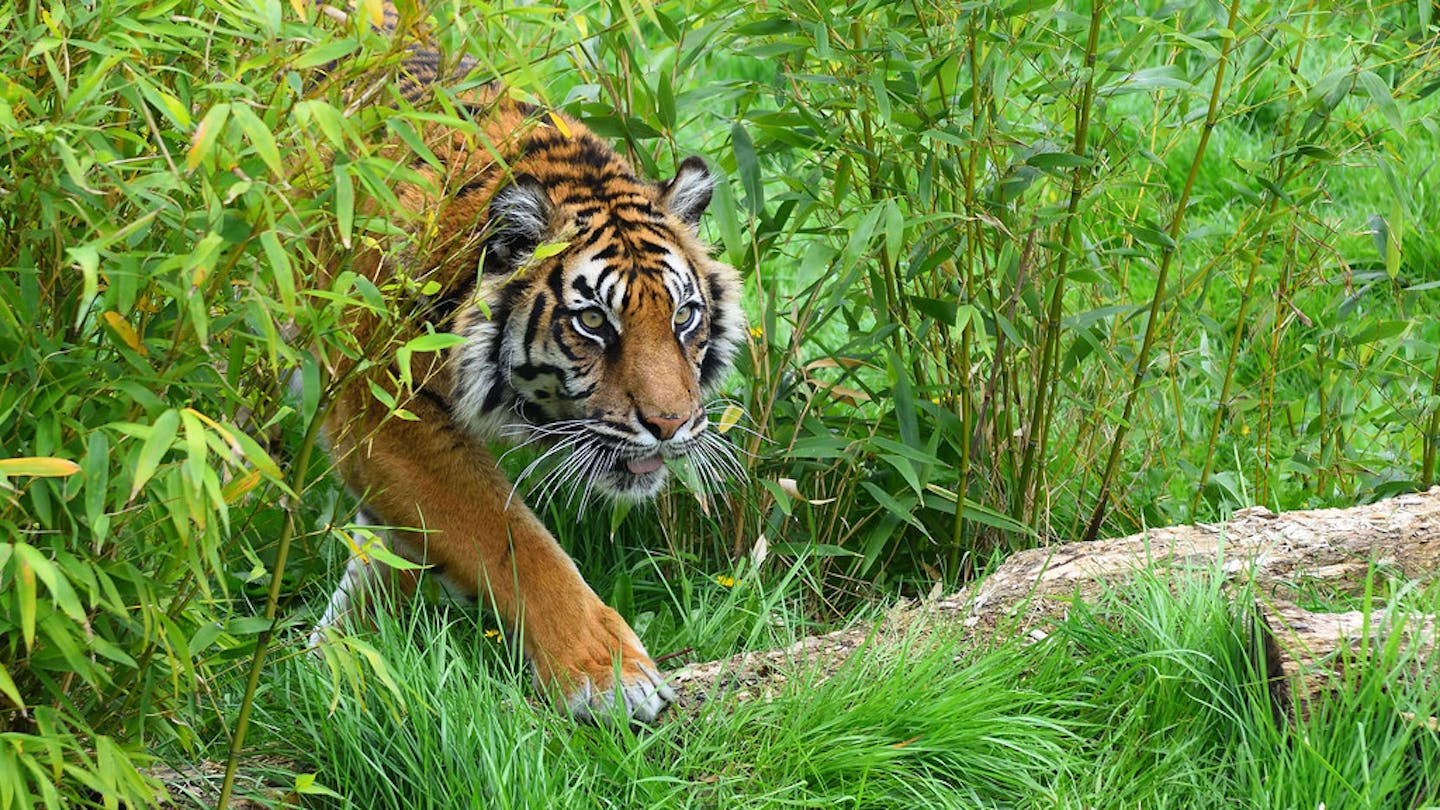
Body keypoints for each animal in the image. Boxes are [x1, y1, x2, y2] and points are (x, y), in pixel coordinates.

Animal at [309, 0, 748, 717]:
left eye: (683, 317)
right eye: (594, 322)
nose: (671, 425)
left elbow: (391, 547)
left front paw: (338, 663)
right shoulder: (383, 410)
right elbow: (512, 540)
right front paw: (609, 676)